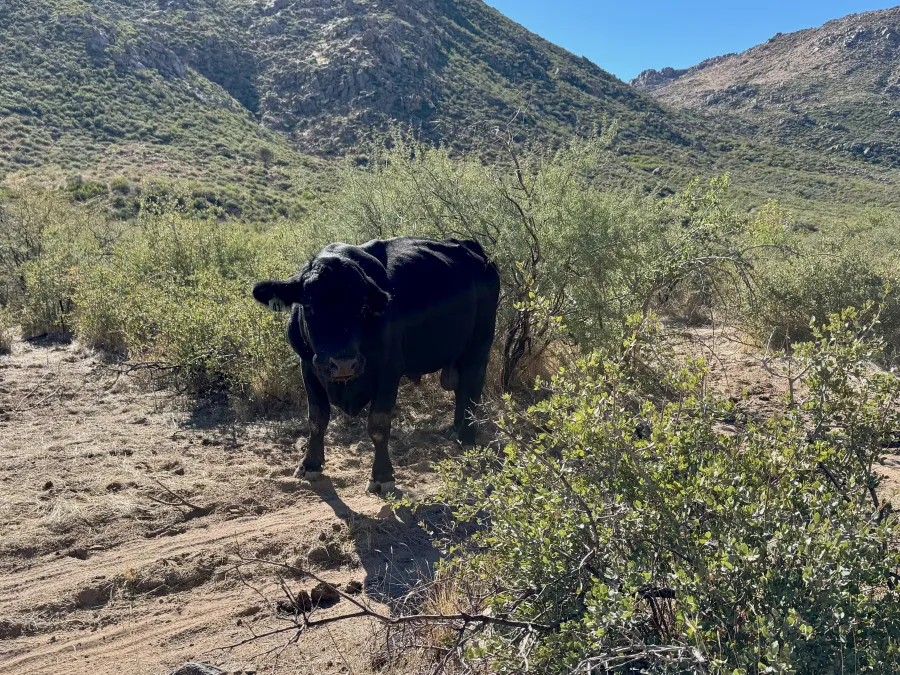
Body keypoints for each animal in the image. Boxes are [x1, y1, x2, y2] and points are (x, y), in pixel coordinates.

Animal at [252, 236, 501, 496]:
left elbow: (379, 425)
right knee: (462, 390)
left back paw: (467, 436)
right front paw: (310, 464)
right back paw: (455, 431)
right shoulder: (308, 366)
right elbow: (317, 419)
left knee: (472, 389)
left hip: (478, 348)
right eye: (308, 306)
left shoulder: (389, 370)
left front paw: (382, 476)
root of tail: (472, 248)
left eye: (362, 307)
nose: (343, 363)